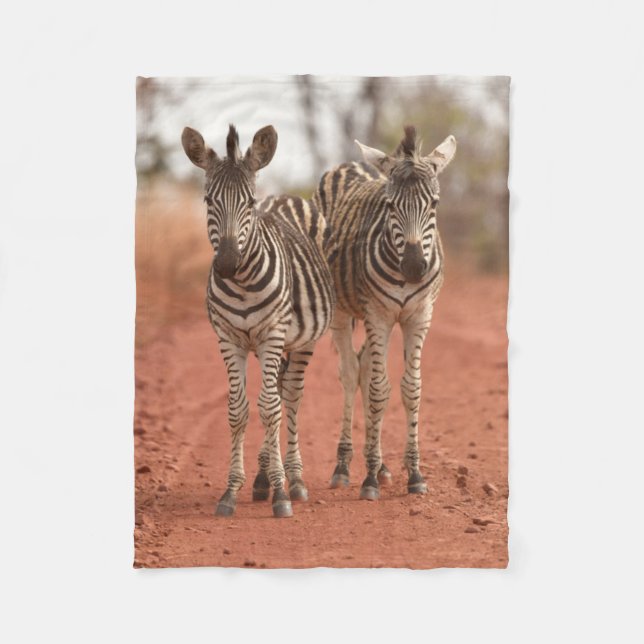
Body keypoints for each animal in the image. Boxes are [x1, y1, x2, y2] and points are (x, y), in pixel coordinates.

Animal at [181, 124, 335, 518]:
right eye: (208, 201)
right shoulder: (228, 338)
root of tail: (283, 197)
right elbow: (239, 411)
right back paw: (264, 478)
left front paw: (282, 493)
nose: (226, 264)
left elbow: (270, 408)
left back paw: (293, 479)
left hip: (301, 341)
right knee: (278, 393)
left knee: (289, 397)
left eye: (249, 203)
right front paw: (231, 491)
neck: (243, 283)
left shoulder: (271, 334)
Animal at [314, 125, 457, 500]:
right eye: (390, 205)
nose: (414, 267)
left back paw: (379, 464)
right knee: (352, 373)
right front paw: (369, 480)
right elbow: (379, 390)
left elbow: (411, 389)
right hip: (342, 312)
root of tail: (350, 164)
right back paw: (345, 466)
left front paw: (414, 474)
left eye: (434, 204)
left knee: (364, 367)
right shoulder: (378, 314)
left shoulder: (419, 315)